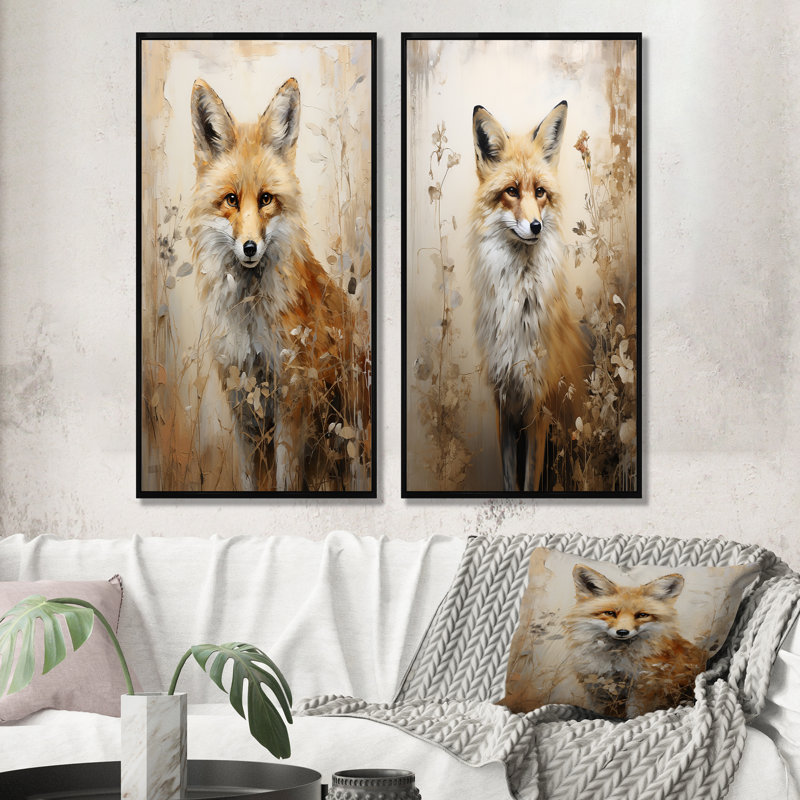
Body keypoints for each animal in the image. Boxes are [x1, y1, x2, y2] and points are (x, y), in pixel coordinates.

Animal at [188, 77, 369, 492]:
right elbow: (247, 480)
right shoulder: (241, 402)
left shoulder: (291, 398)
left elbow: (288, 479)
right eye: (231, 200)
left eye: (266, 199)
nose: (249, 247)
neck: (250, 319)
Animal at [469, 101, 588, 492]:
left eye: (540, 192)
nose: (535, 226)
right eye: (511, 191)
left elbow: (528, 482)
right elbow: (510, 481)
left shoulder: (538, 407)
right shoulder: (504, 405)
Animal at [564, 564, 709, 718]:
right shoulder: (596, 688)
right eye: (610, 613)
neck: (616, 663)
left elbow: (634, 714)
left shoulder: (643, 688)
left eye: (642, 615)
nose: (622, 632)